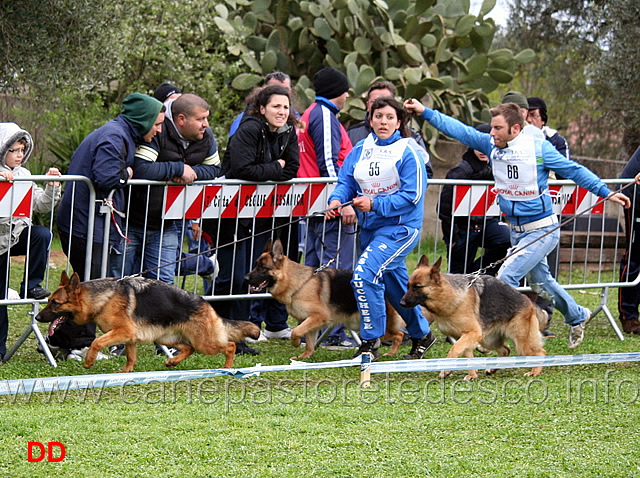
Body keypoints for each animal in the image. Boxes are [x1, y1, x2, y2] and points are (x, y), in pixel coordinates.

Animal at [34, 270, 260, 372]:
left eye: (54, 303)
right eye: (48, 301)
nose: (37, 317)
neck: (103, 298)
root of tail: (205, 303)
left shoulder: (123, 332)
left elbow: (96, 342)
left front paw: (89, 361)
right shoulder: (130, 338)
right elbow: (130, 358)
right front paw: (125, 373)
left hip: (205, 342)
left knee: (230, 345)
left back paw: (228, 368)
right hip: (165, 338)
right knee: (188, 348)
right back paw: (172, 361)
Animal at [245, 239, 404, 358]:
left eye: (262, 268)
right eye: (255, 265)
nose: (246, 278)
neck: (300, 283)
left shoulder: (318, 316)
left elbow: (296, 332)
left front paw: (296, 343)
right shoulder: (311, 322)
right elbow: (309, 342)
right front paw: (305, 357)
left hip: (379, 328)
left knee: (399, 335)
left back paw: (391, 353)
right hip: (357, 324)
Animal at [400, 256, 544, 380]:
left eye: (417, 287)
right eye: (408, 286)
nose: (401, 303)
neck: (448, 296)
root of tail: (528, 301)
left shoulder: (471, 333)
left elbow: (454, 349)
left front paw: (446, 370)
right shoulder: (466, 336)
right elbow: (468, 356)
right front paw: (472, 375)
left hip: (521, 343)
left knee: (540, 352)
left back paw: (535, 372)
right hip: (488, 341)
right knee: (505, 350)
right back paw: (493, 369)